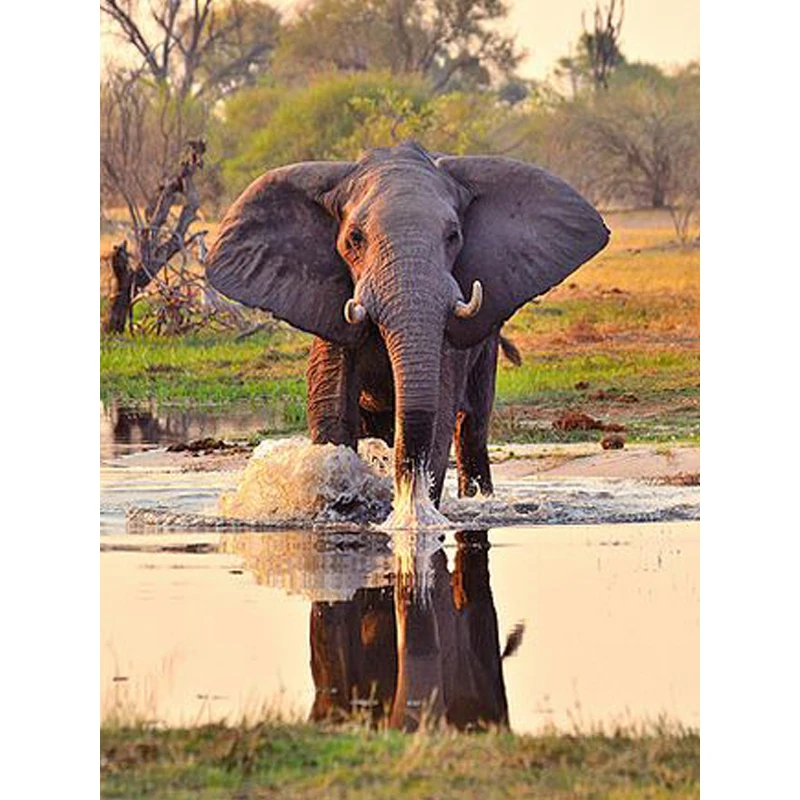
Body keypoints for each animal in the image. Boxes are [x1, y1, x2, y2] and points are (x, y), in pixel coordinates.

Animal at [207, 142, 609, 510]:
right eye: (355, 238)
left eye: (453, 236)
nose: (406, 494)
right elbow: (333, 410)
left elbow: (439, 411)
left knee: (472, 427)